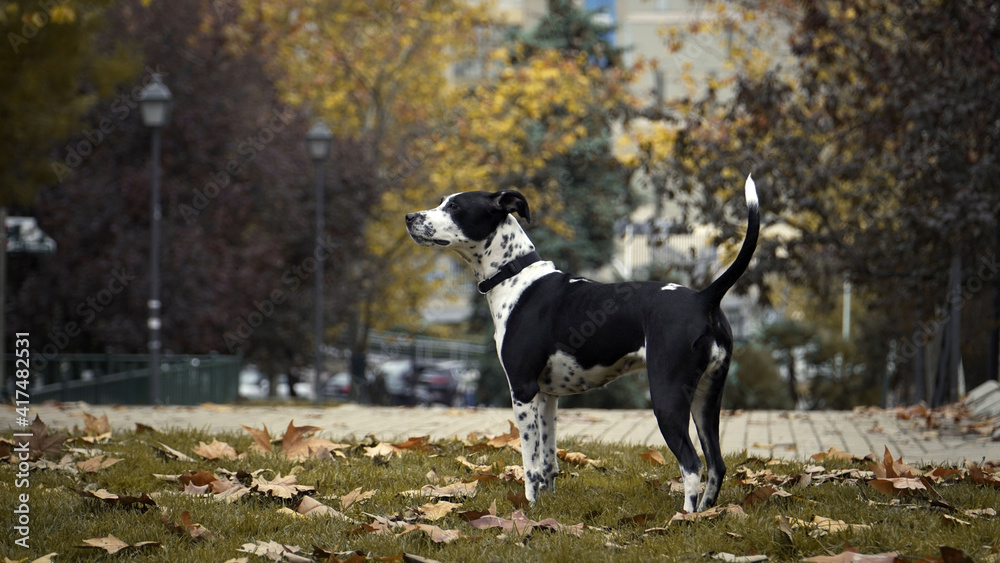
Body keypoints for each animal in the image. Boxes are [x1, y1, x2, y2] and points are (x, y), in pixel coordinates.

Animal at [406, 177, 756, 516]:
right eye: (441, 201)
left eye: (454, 206)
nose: (409, 217)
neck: (515, 275)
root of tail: (704, 297)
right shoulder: (546, 397)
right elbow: (548, 461)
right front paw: (547, 504)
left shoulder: (522, 390)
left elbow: (530, 464)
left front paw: (528, 507)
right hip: (706, 401)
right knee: (716, 464)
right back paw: (706, 513)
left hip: (668, 400)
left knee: (692, 465)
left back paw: (685, 517)